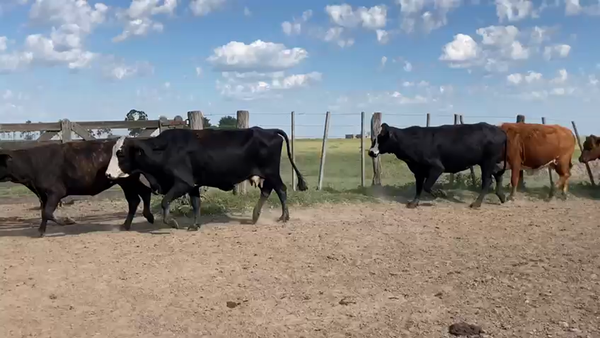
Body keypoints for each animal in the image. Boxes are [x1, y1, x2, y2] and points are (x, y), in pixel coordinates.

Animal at [0, 140, 157, 238]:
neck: (32, 163)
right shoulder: (43, 195)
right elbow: (44, 213)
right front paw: (40, 231)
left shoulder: (55, 192)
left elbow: (47, 212)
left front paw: (68, 221)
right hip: (128, 182)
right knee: (139, 196)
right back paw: (131, 223)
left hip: (127, 181)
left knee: (137, 197)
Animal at [105, 126, 308, 230]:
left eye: (121, 153)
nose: (107, 174)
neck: (165, 149)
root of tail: (269, 130)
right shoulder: (193, 185)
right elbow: (196, 204)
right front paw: (195, 225)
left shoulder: (183, 183)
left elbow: (165, 202)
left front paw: (172, 222)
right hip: (266, 175)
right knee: (267, 190)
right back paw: (255, 216)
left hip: (271, 172)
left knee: (281, 189)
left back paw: (283, 217)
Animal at [368, 121, 508, 209]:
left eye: (382, 138)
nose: (370, 152)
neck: (411, 140)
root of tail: (499, 130)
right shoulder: (418, 171)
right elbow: (419, 187)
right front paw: (413, 203)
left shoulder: (437, 167)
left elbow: (427, 186)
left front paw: (440, 194)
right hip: (488, 163)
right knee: (498, 175)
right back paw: (502, 197)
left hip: (487, 162)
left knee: (487, 180)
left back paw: (477, 203)